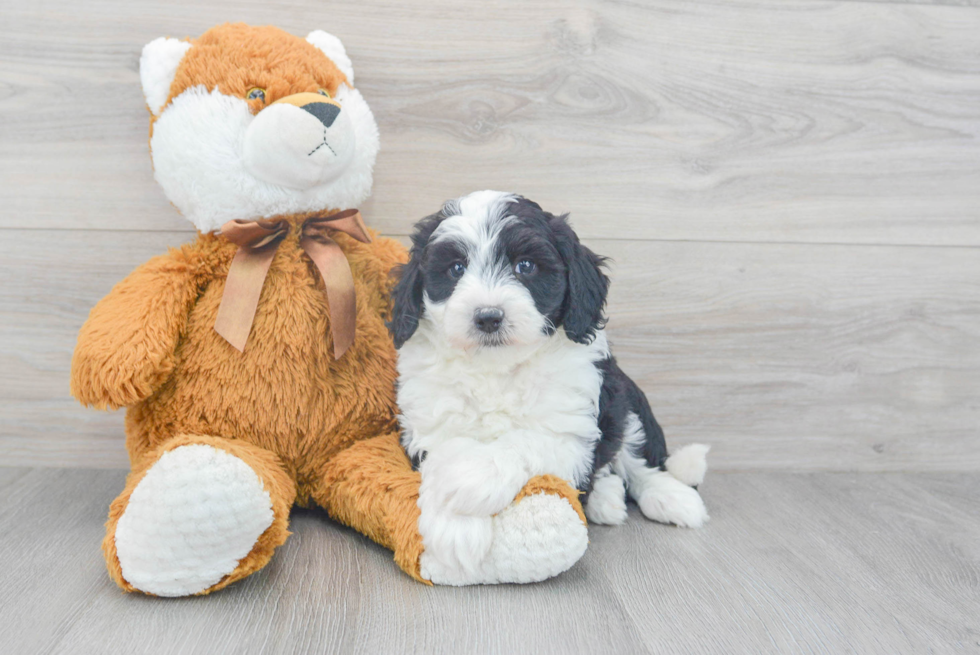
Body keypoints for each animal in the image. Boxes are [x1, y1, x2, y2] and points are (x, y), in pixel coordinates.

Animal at [386, 192, 708, 540]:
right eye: (456, 268)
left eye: (525, 266)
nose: (488, 317)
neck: (497, 371)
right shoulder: (430, 422)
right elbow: (445, 454)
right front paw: (454, 528)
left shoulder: (570, 431)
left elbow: (526, 442)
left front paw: (472, 477)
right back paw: (606, 499)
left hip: (627, 400)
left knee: (637, 457)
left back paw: (672, 498)